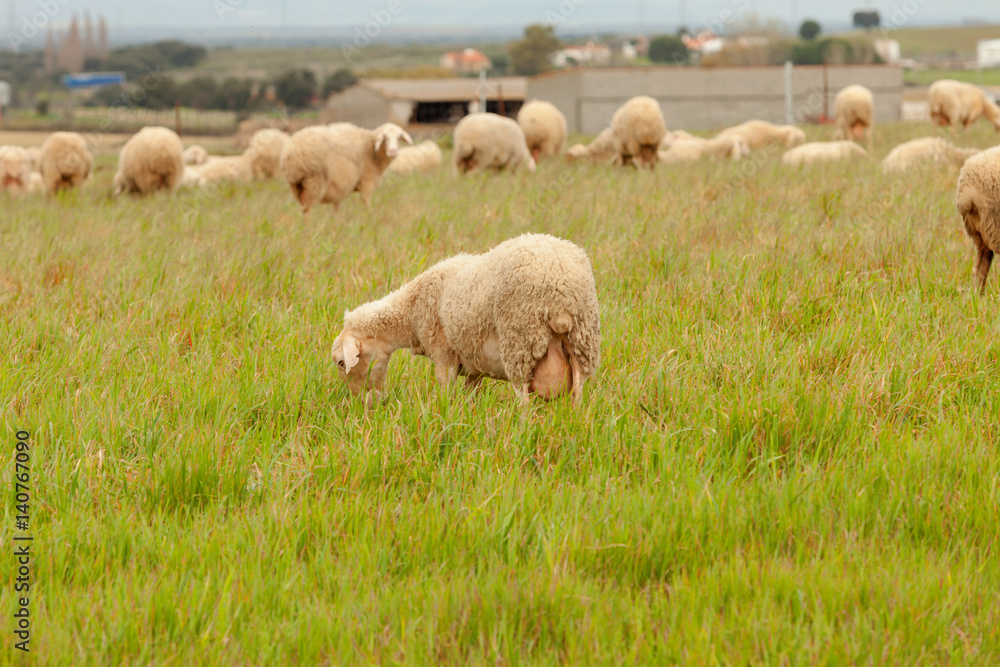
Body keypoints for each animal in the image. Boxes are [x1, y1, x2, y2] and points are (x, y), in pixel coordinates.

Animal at [280, 122, 412, 215]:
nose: (393, 151)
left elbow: (337, 206)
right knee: (307, 208)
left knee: (303, 206)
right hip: (315, 181)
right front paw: (368, 217)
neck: (372, 150)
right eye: (385, 137)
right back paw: (308, 228)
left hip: (296, 185)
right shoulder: (367, 181)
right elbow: (366, 202)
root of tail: (292, 153)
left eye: (399, 137)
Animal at [331, 233, 601, 404]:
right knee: (577, 399)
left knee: (524, 403)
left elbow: (445, 393)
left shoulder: (444, 354)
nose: (364, 404)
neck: (411, 312)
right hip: (582, 343)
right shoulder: (474, 366)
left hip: (520, 344)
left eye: (341, 363)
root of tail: (561, 287)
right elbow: (472, 396)